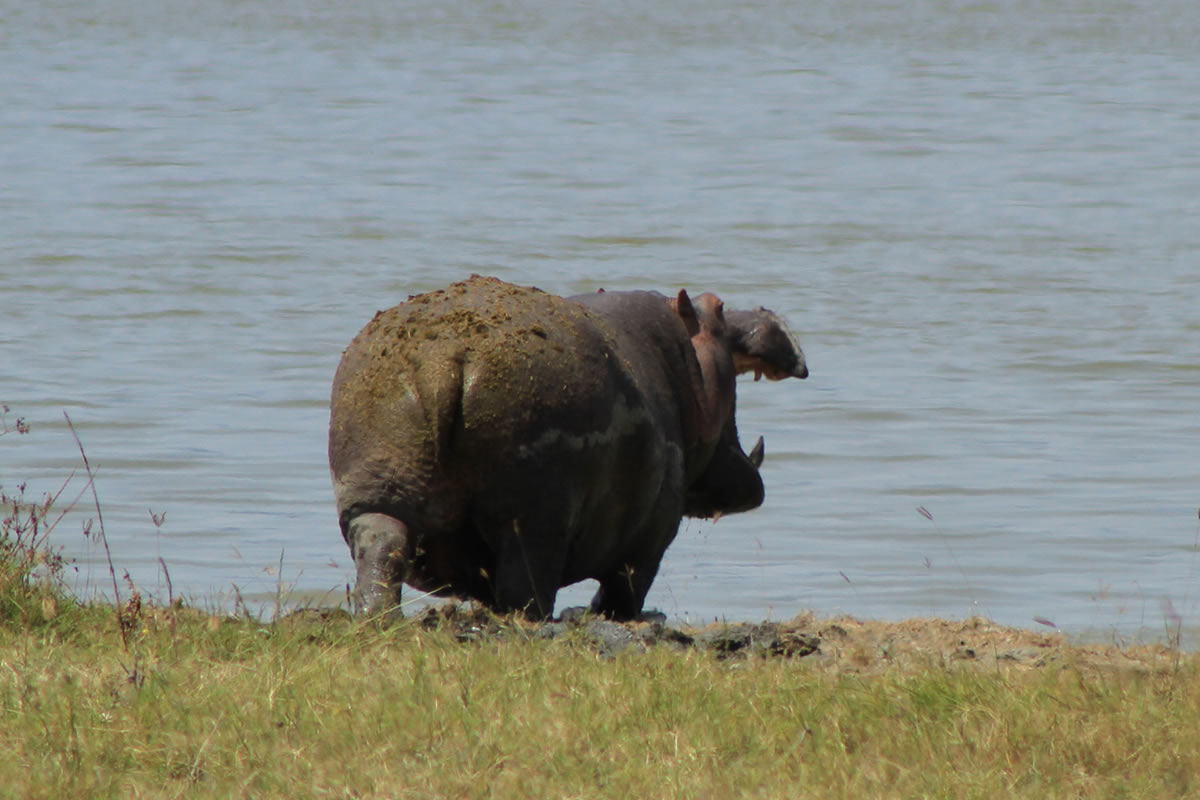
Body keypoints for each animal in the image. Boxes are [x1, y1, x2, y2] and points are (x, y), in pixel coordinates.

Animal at [329, 275, 806, 620]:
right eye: (718, 305)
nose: (766, 311)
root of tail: (440, 361)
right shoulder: (653, 533)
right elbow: (626, 587)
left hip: (378, 488)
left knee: (381, 547)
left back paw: (378, 618)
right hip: (534, 520)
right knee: (526, 591)